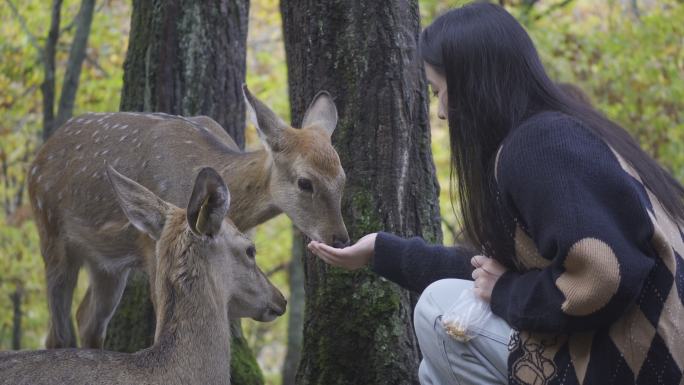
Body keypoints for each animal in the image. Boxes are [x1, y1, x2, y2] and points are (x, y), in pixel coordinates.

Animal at [26, 86, 348, 348]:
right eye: (305, 182)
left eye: (343, 178)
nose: (340, 239)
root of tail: (37, 159)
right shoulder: (154, 244)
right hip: (50, 231)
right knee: (58, 333)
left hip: (107, 263)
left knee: (87, 320)